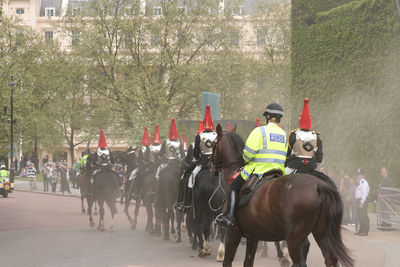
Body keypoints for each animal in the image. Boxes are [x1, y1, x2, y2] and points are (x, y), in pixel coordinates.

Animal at [209, 125, 354, 267]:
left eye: (214, 144)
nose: (212, 167)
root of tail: (319, 186)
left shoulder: (233, 232)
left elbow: (228, 261)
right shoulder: (253, 236)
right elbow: (248, 262)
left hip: (295, 238)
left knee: (301, 260)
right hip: (322, 233)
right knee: (330, 259)